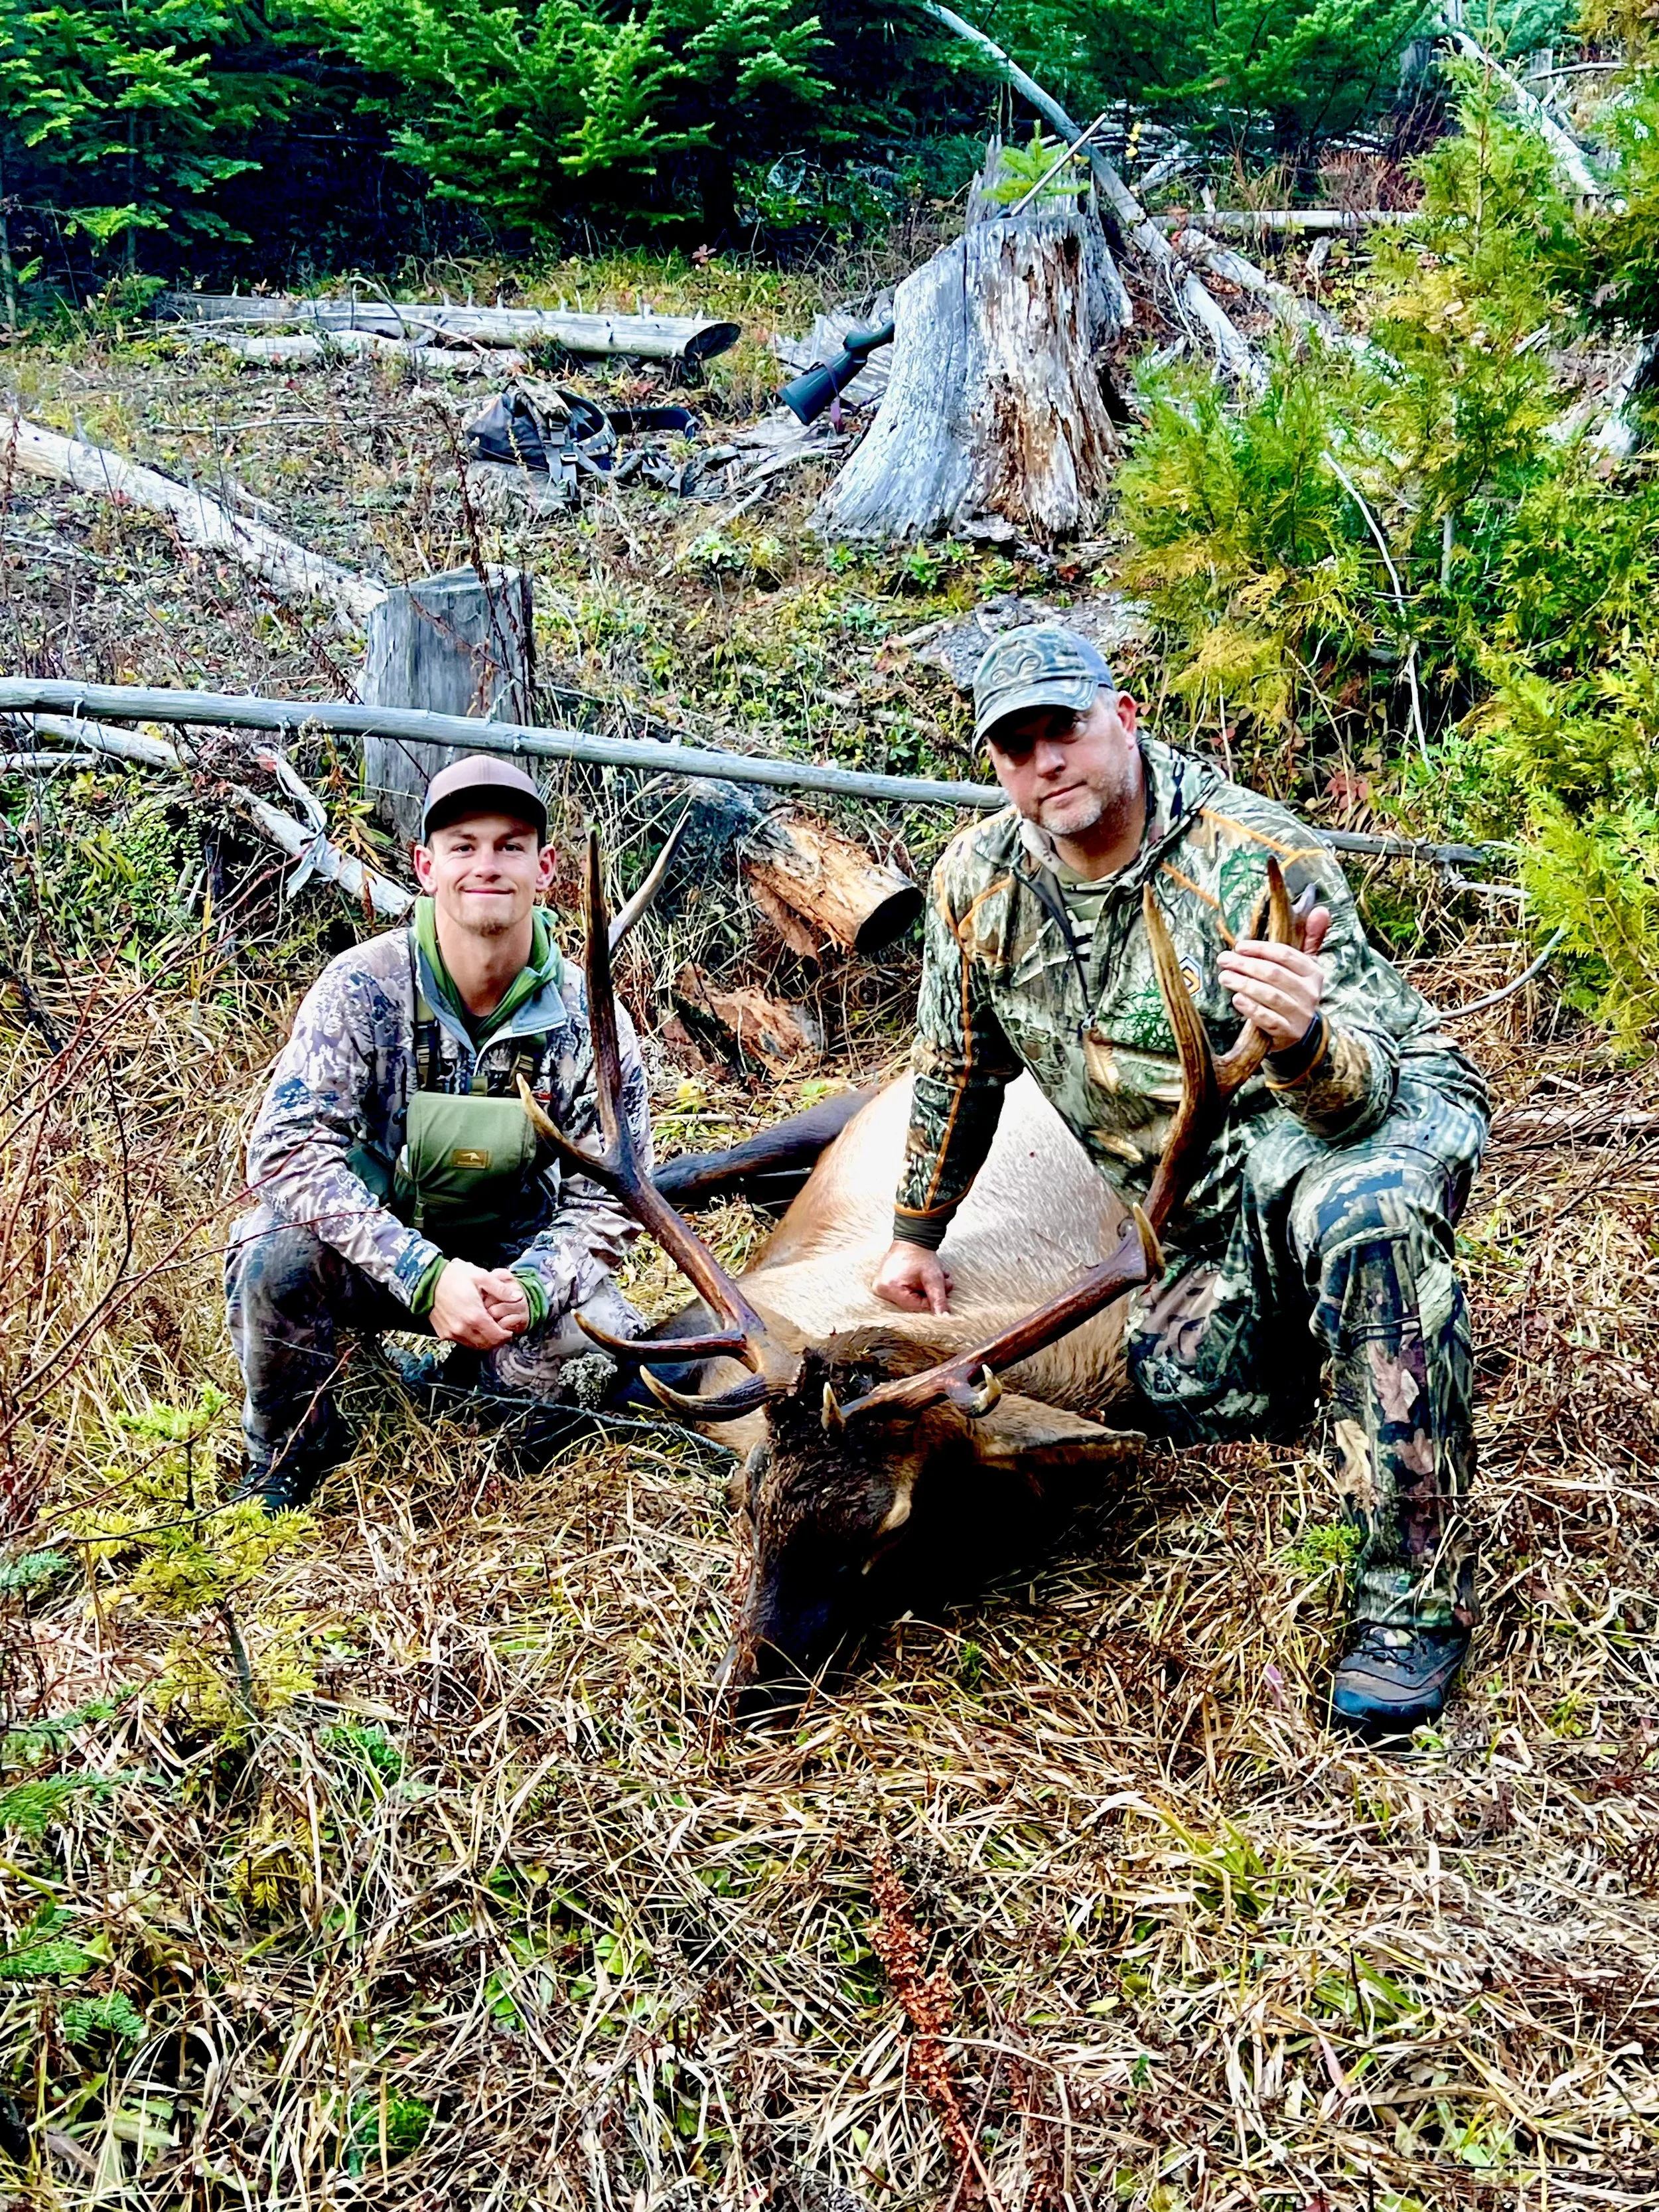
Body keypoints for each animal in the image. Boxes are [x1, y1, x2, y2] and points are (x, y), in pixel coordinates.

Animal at [522, 831, 1299, 1713]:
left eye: (892, 1527)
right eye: (745, 1500)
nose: (745, 1682)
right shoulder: (757, 1310)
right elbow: (583, 1395)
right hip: (850, 1103)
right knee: (692, 1165)